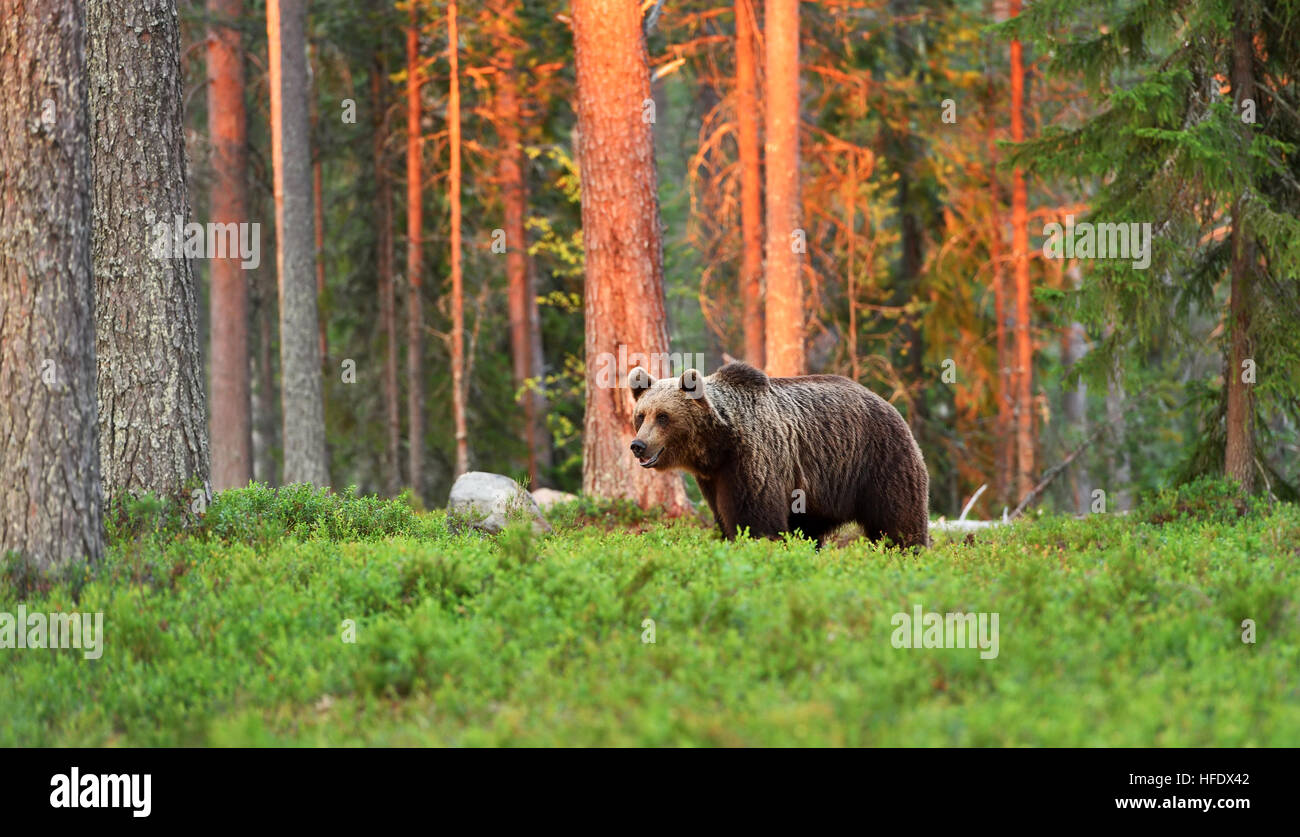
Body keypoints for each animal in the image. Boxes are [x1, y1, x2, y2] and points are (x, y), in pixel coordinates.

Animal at [628, 362, 930, 549]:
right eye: (641, 415)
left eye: (663, 416)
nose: (638, 445)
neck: (717, 445)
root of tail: (886, 402)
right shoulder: (713, 478)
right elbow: (725, 520)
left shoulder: (751, 459)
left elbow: (756, 521)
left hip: (879, 459)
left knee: (897, 519)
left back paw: (906, 552)